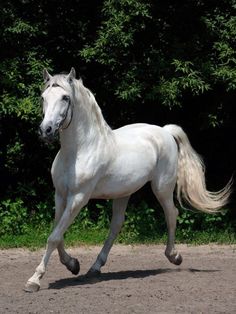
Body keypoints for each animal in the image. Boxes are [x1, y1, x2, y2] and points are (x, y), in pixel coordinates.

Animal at [24, 68, 231, 292]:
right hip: (123, 193)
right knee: (116, 225)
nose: (46, 130)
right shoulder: (61, 195)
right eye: (43, 97)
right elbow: (58, 234)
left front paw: (34, 280)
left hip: (162, 188)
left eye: (65, 97)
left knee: (171, 214)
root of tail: (165, 131)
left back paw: (174, 256)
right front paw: (73, 265)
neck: (78, 150)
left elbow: (54, 237)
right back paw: (94, 268)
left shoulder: (78, 198)